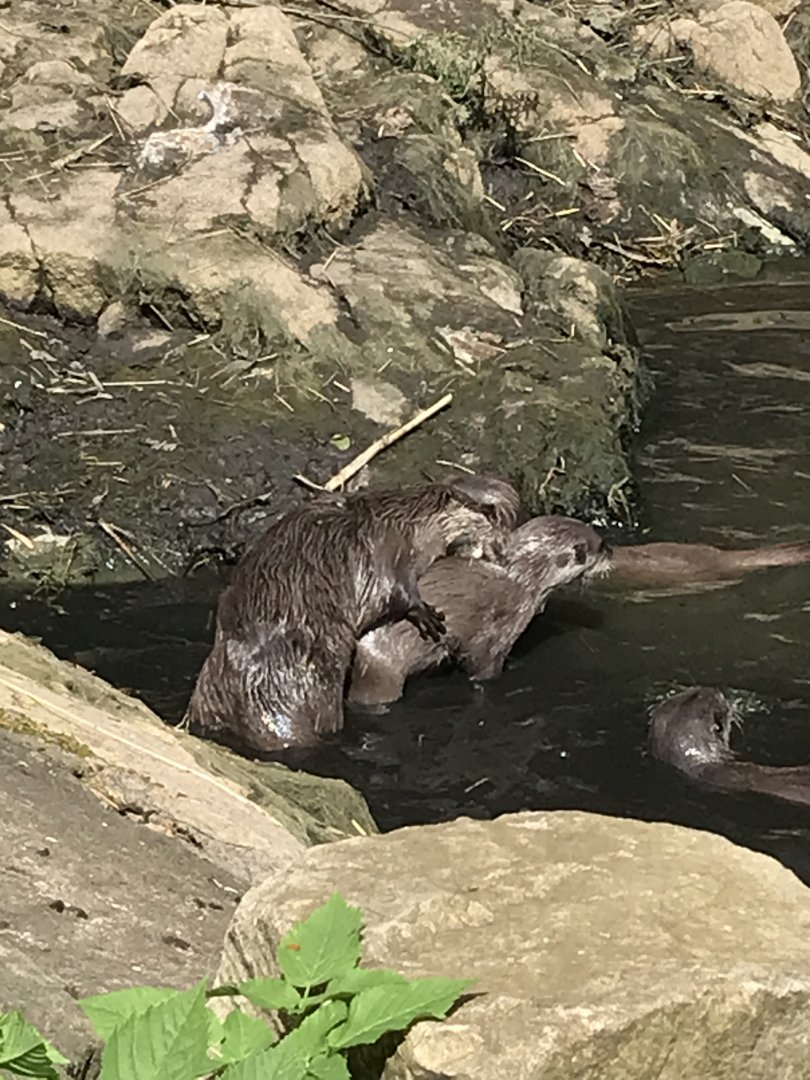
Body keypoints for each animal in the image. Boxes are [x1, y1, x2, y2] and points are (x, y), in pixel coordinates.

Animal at [183, 474, 520, 754]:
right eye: (489, 512)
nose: (501, 547)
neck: (404, 521)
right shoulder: (387, 549)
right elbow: (396, 589)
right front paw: (425, 614)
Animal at [348, 515, 610, 707]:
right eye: (599, 546)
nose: (611, 551)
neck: (523, 581)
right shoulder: (499, 631)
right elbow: (482, 666)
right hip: (381, 670)